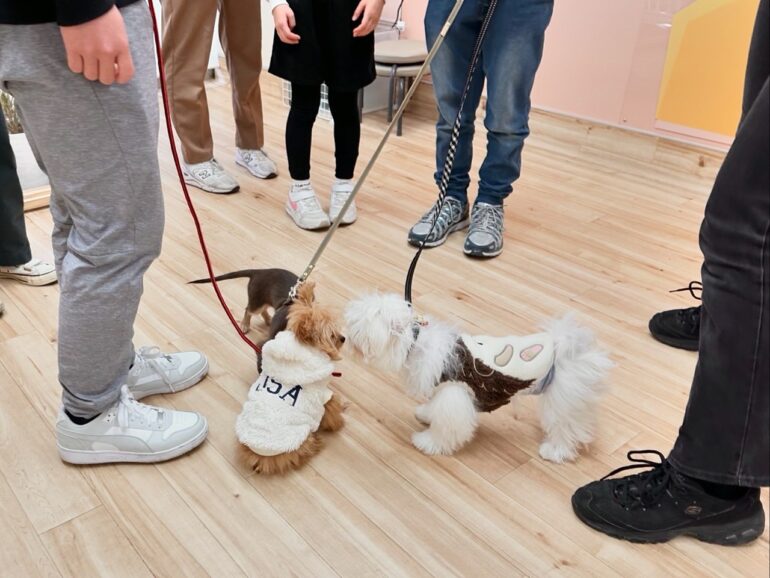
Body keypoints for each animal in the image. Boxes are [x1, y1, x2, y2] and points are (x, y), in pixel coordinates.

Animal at [232, 280, 344, 472]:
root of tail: (259, 456)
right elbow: (332, 409)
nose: (343, 338)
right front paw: (339, 421)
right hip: (301, 435)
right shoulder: (323, 395)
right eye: (331, 335)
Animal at [344, 294, 608, 462]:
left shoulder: (454, 393)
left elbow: (448, 426)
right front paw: (426, 415)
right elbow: (434, 408)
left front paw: (428, 442)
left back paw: (554, 451)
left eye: (359, 325)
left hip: (564, 397)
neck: (416, 341)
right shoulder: (444, 389)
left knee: (567, 428)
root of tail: (563, 344)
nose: (345, 333)